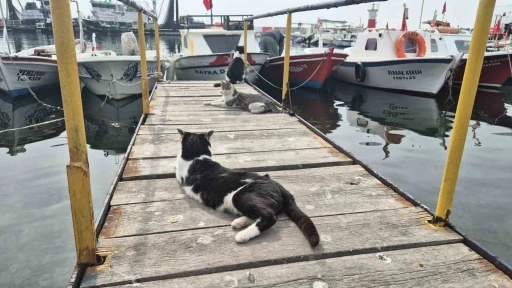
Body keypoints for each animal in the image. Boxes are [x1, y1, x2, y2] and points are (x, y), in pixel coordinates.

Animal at [176, 129, 320, 246]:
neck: (197, 156)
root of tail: (276, 184)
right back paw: (240, 222)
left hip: (240, 196)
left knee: (270, 216)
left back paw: (243, 235)